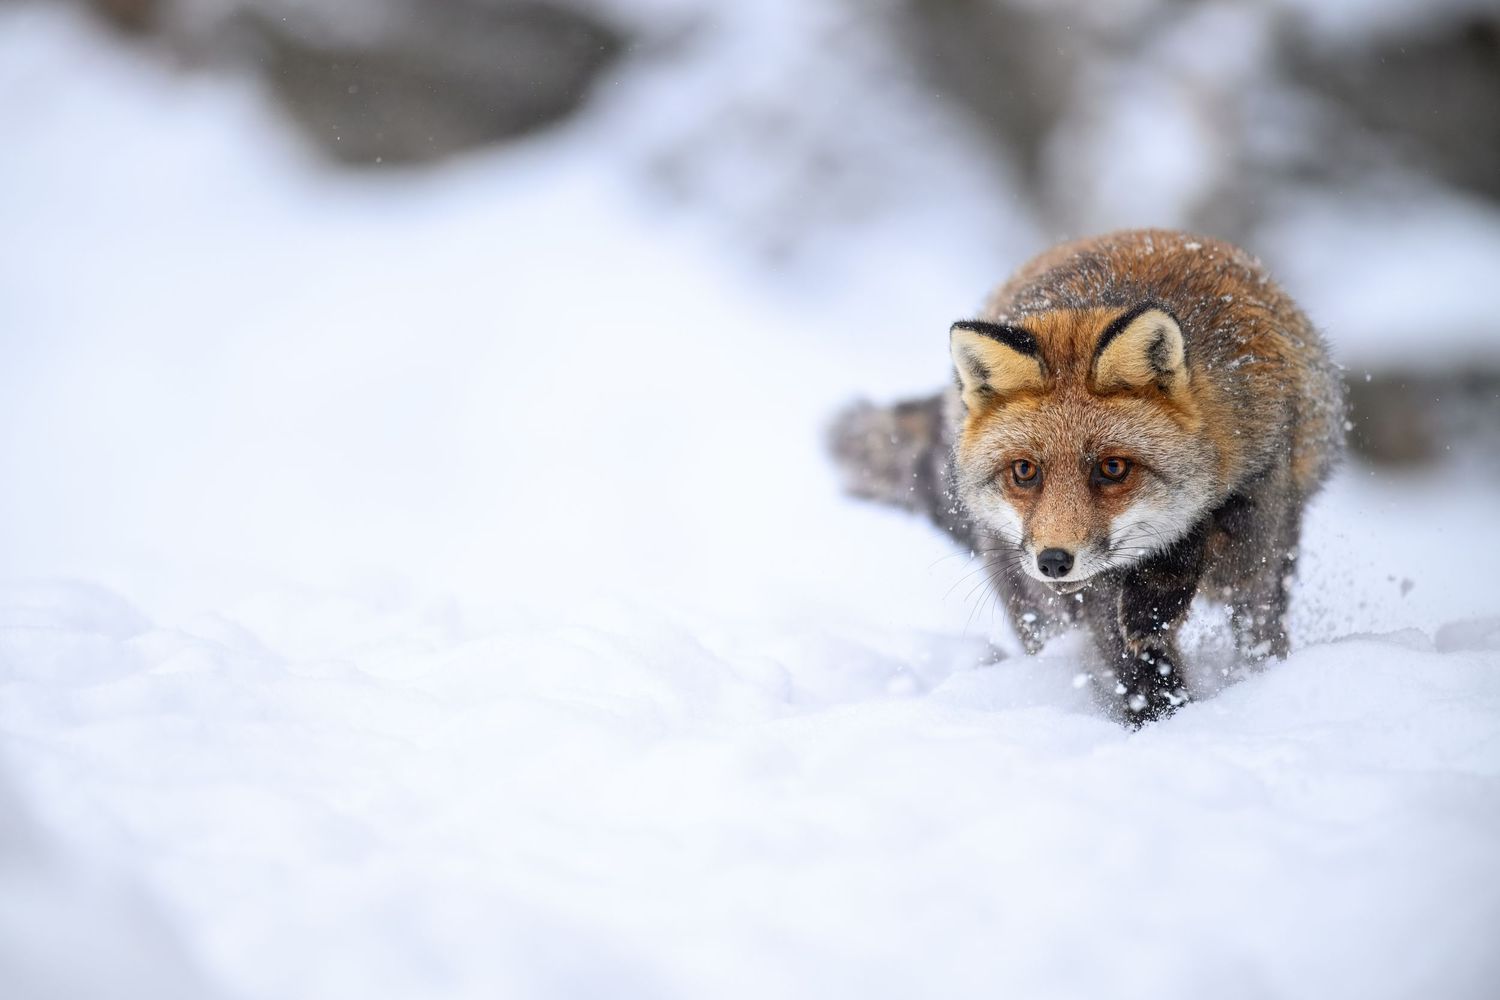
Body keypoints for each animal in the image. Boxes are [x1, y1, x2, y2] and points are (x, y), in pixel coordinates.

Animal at [830, 229, 1345, 724]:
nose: (1054, 561)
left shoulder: (1259, 511)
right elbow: (1138, 673)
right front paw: (1162, 721)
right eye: (1024, 471)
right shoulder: (1098, 599)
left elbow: (1214, 566)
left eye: (1112, 468)